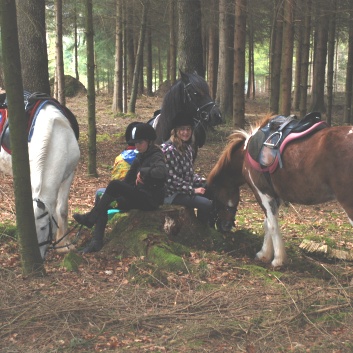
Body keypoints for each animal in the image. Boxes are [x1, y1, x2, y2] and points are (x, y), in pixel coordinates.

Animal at [208, 115, 352, 266]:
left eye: (215, 198)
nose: (224, 226)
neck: (245, 154)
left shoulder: (262, 194)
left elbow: (272, 225)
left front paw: (277, 259)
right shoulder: (274, 196)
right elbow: (267, 223)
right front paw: (265, 254)